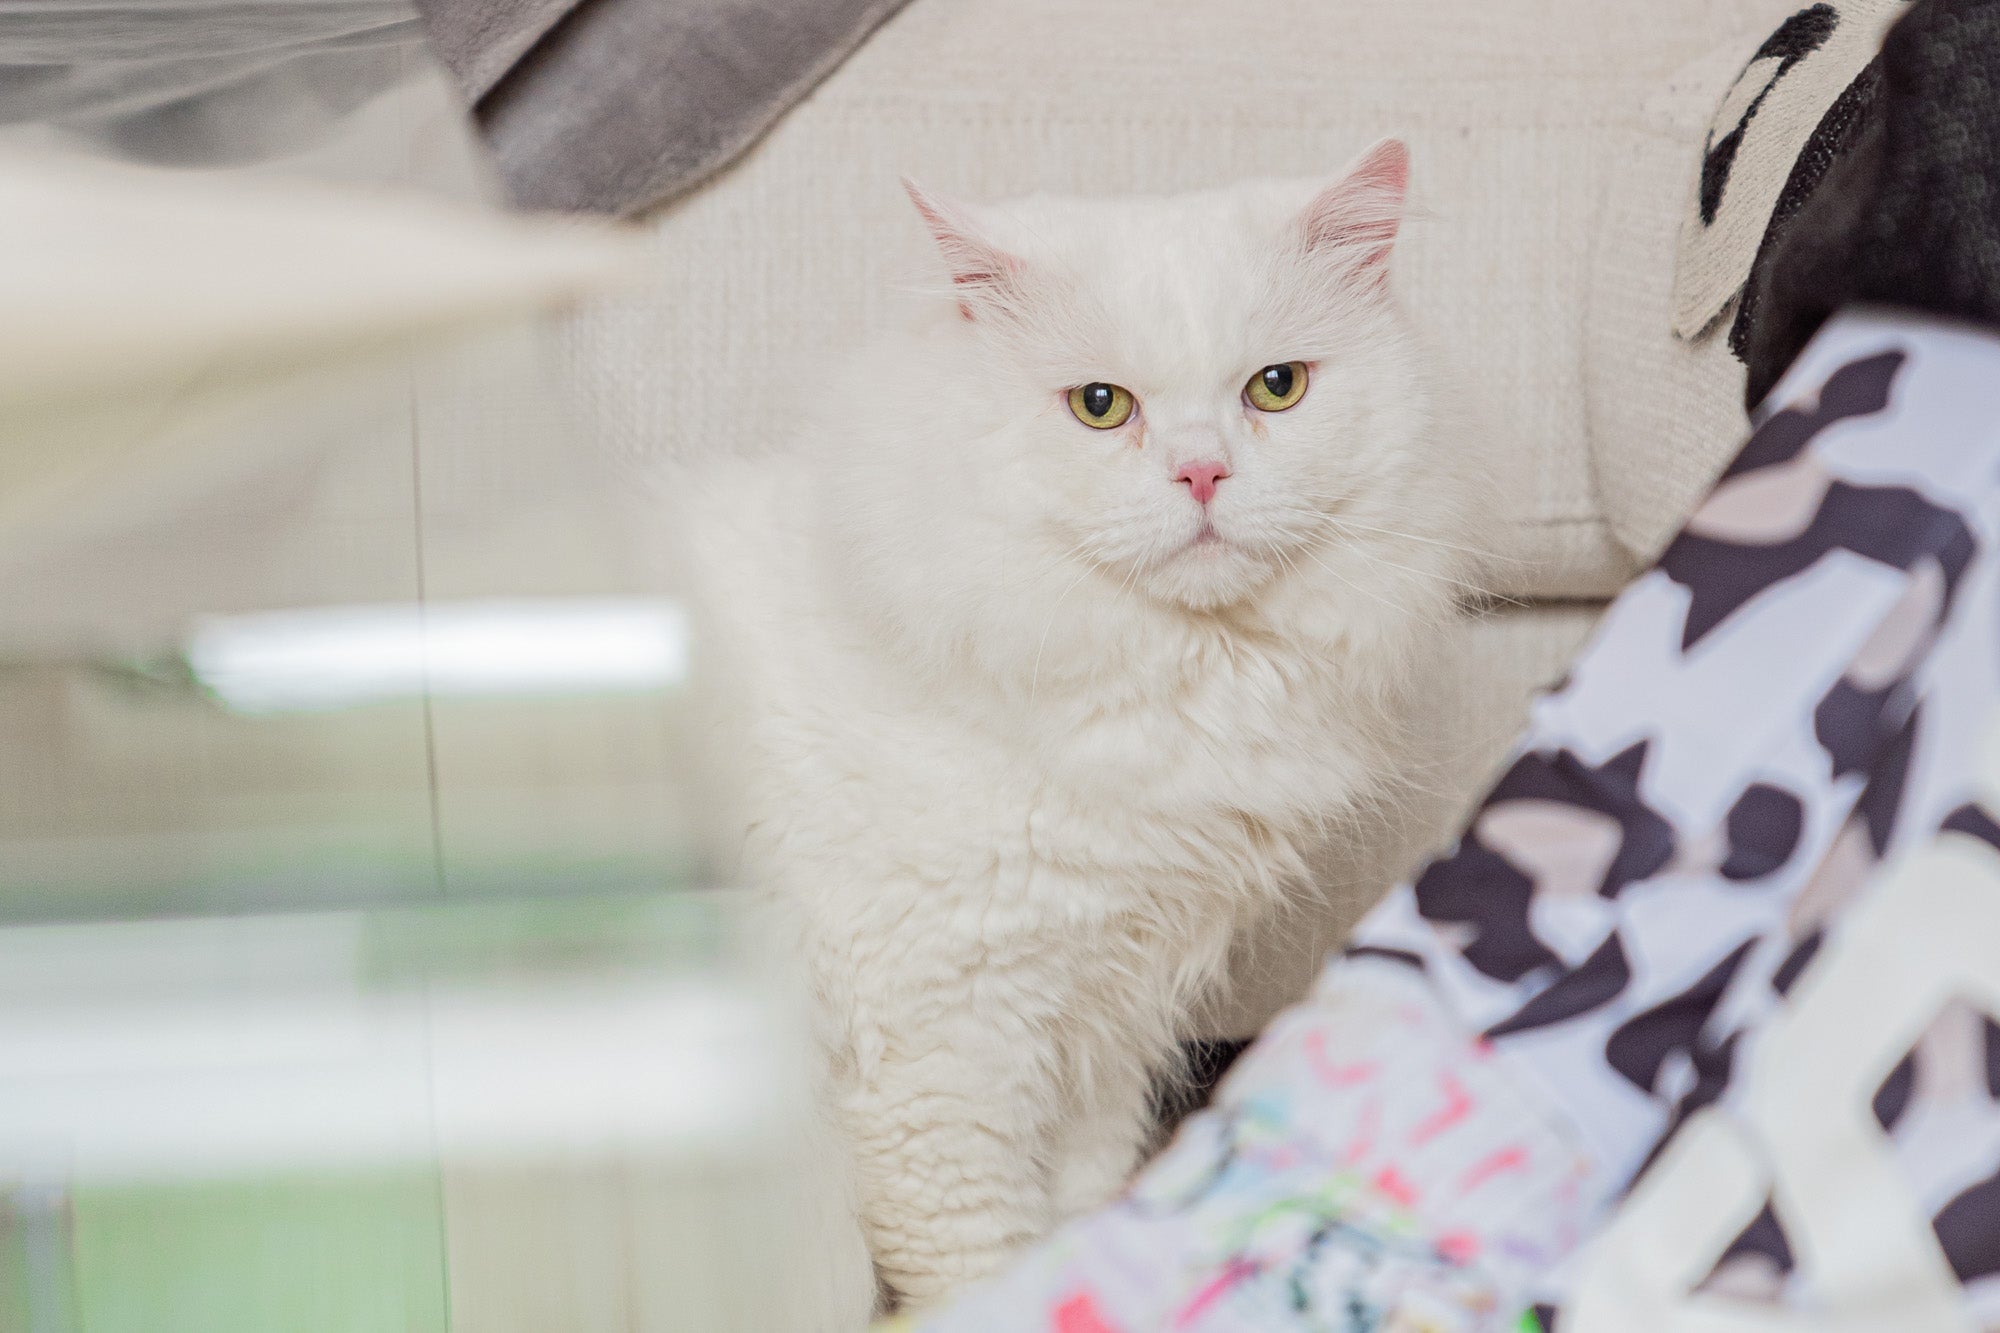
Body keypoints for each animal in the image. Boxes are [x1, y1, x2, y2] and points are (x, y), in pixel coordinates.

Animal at [688, 143, 1488, 1304]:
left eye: (1276, 388)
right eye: (1101, 407)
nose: (1202, 473)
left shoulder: (1105, 1022)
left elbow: (1083, 1203)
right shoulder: (947, 1047)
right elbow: (981, 1257)